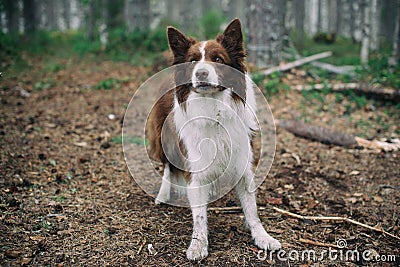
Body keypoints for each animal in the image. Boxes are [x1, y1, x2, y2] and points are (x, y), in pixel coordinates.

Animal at [146, 18, 282, 260]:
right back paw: (163, 194)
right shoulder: (195, 168)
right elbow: (199, 215)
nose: (200, 73)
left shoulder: (242, 162)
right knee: (167, 167)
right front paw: (198, 244)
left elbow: (252, 208)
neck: (213, 108)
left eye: (218, 59)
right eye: (192, 61)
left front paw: (262, 236)